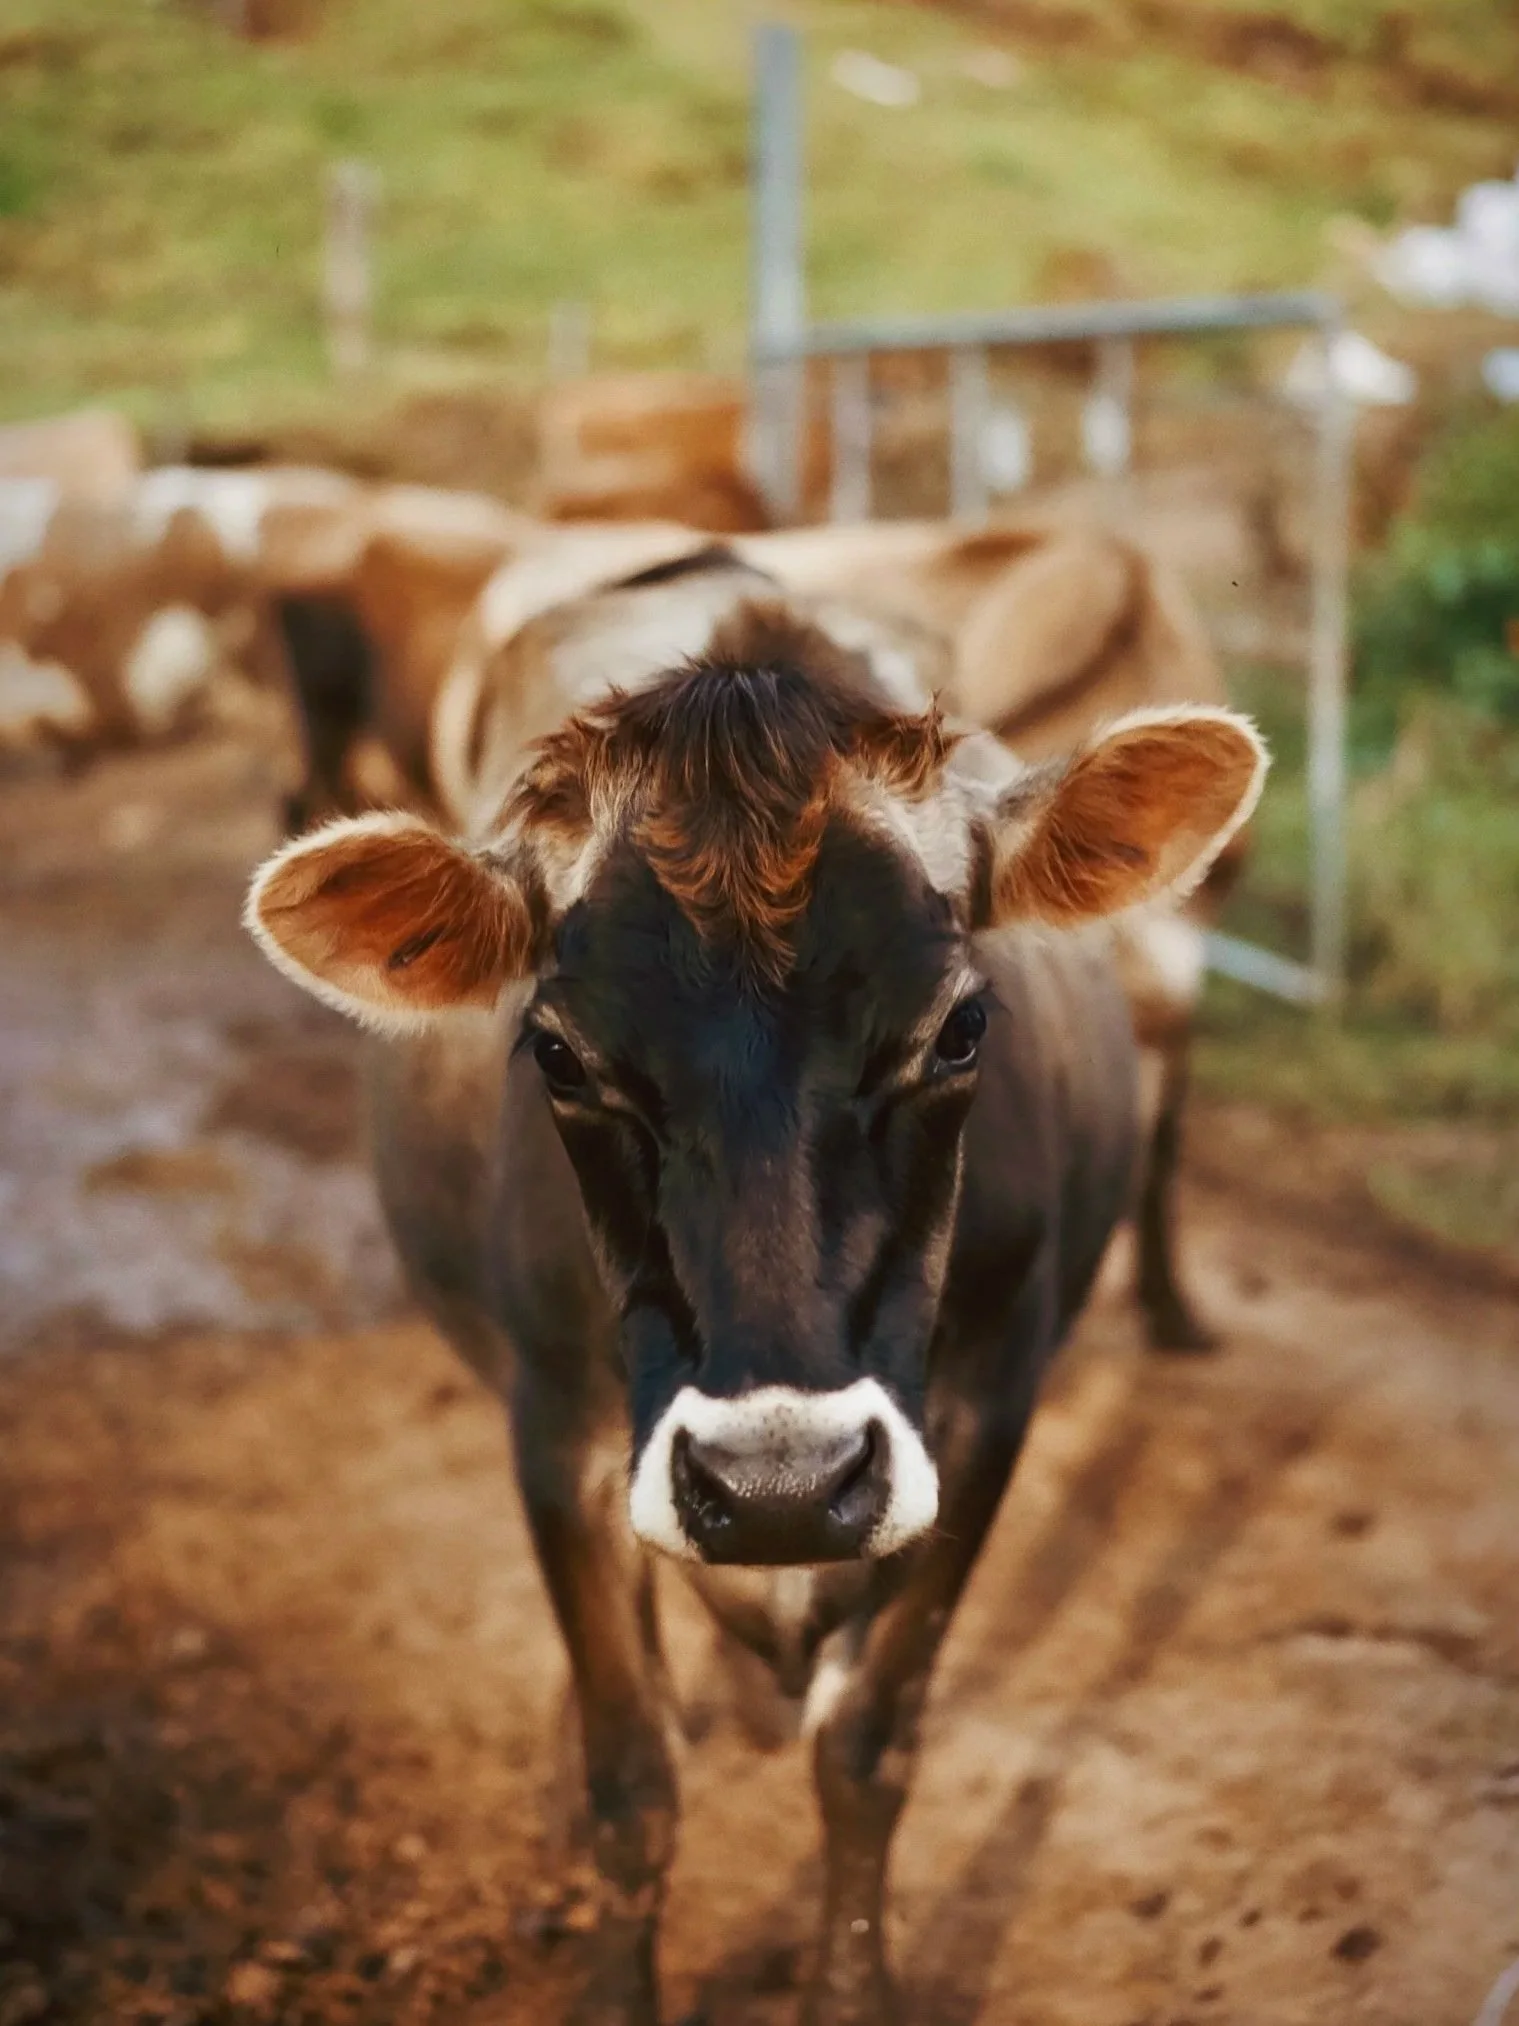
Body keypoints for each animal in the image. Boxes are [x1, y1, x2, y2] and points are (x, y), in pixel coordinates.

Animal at [245, 553, 1265, 2026]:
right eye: (556, 1052)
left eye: (961, 1025)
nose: (779, 1481)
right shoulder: (557, 1430)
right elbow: (631, 1775)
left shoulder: (987, 1409)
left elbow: (868, 1742)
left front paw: (850, 1985)